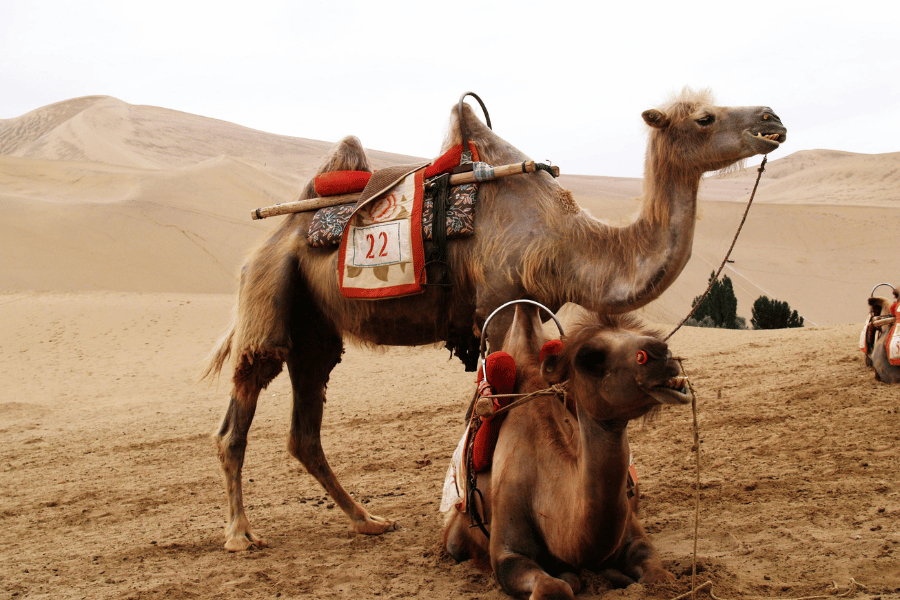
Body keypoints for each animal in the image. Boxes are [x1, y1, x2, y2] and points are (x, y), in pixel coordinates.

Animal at [203, 89, 786, 551]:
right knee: (238, 416)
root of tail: (271, 237)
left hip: (316, 329)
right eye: (705, 118)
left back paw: (369, 520)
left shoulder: (533, 305)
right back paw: (240, 534)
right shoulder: (498, 303)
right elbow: (500, 399)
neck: (565, 242)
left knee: (305, 431)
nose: (772, 118)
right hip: (270, 291)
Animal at [443, 303, 689, 599]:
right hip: (457, 535)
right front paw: (574, 576)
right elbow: (554, 585)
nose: (662, 355)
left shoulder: (634, 533)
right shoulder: (506, 551)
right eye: (589, 358)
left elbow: (657, 574)